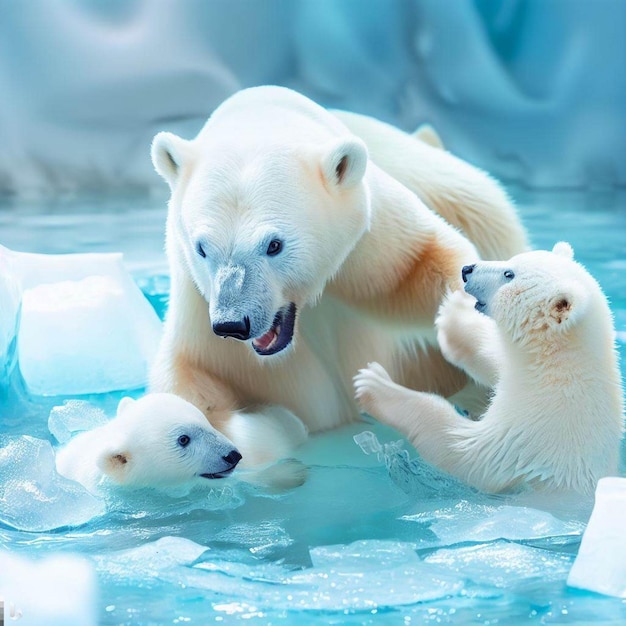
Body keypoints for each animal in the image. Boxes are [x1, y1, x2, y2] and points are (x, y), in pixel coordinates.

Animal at [150, 86, 528, 458]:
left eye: (274, 245)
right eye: (202, 248)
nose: (232, 324)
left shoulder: (372, 247)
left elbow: (426, 263)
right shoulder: (202, 321)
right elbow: (191, 384)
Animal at [354, 243, 620, 492]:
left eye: (508, 274)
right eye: (511, 261)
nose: (466, 270)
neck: (561, 369)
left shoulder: (535, 431)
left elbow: (467, 451)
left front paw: (374, 384)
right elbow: (496, 362)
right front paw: (455, 314)